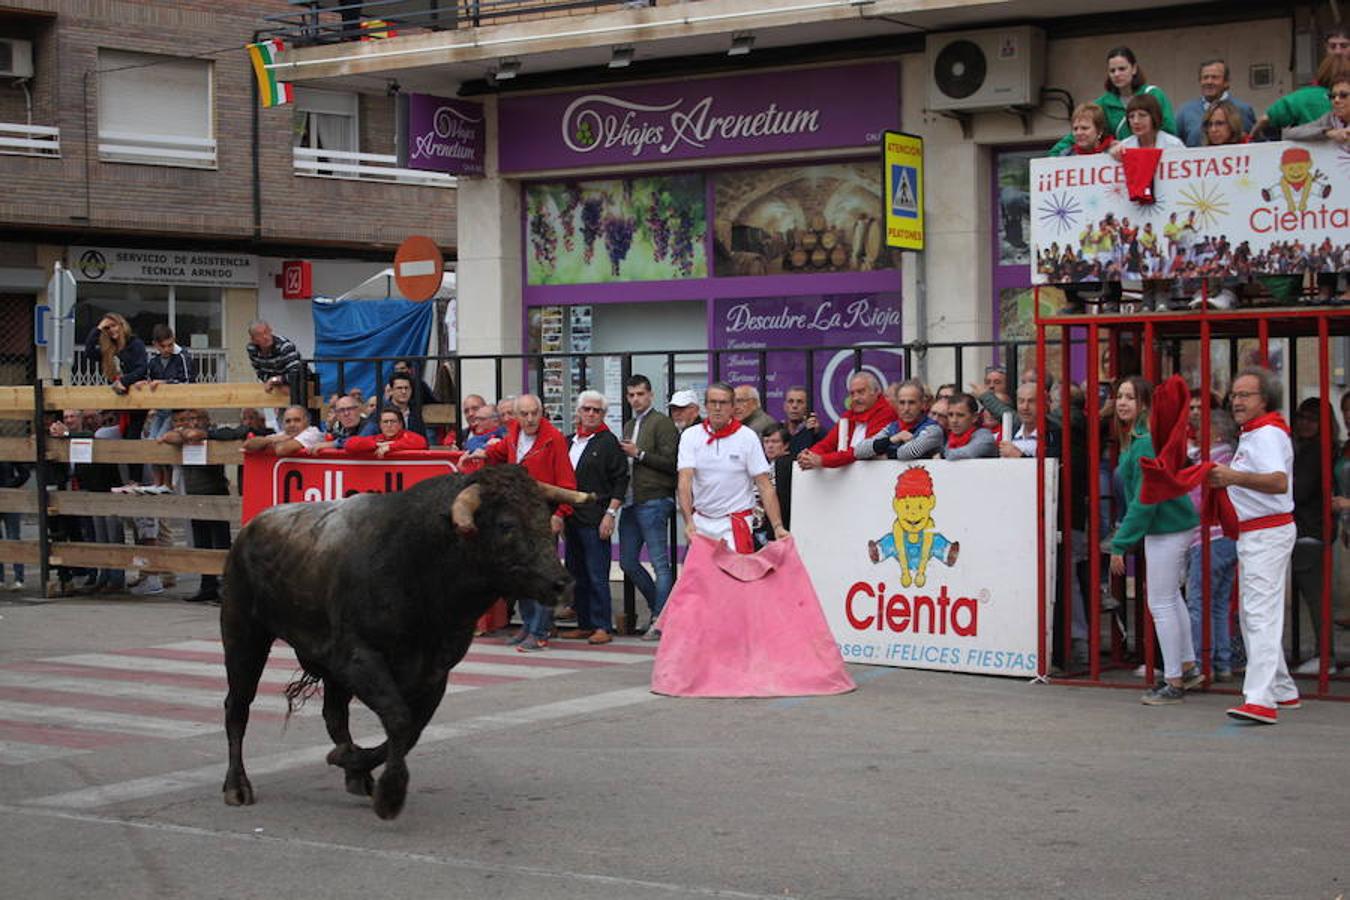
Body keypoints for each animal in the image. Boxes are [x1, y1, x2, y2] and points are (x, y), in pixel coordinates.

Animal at [220, 469, 591, 820]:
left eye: (545, 517)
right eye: (506, 524)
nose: (562, 583)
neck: (420, 562)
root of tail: (250, 528)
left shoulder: (435, 671)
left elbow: (411, 728)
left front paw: (353, 762)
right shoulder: (360, 658)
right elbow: (399, 719)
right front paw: (390, 794)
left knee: (334, 715)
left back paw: (353, 770)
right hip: (243, 635)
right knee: (238, 706)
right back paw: (237, 785)